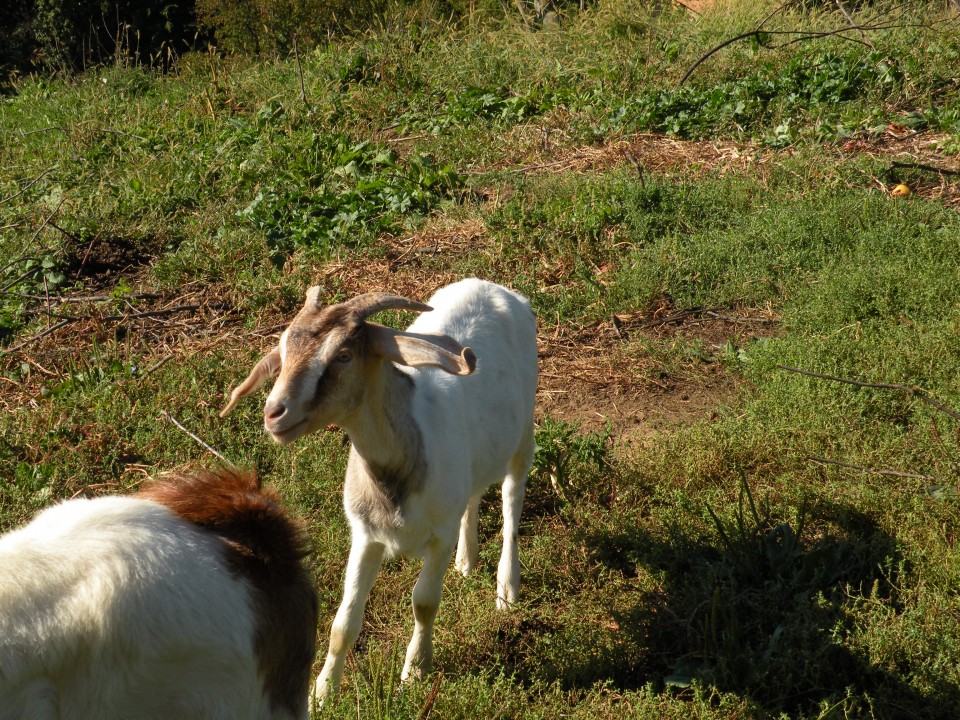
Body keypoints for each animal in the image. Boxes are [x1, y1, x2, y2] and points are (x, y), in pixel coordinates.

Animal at [223, 278, 540, 700]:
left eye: (343, 355)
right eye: (285, 350)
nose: (275, 413)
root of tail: (493, 287)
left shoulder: (438, 537)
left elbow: (424, 603)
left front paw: (415, 672)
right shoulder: (366, 536)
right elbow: (343, 621)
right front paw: (322, 693)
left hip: (524, 434)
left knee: (511, 500)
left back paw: (507, 589)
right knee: (473, 493)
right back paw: (466, 561)